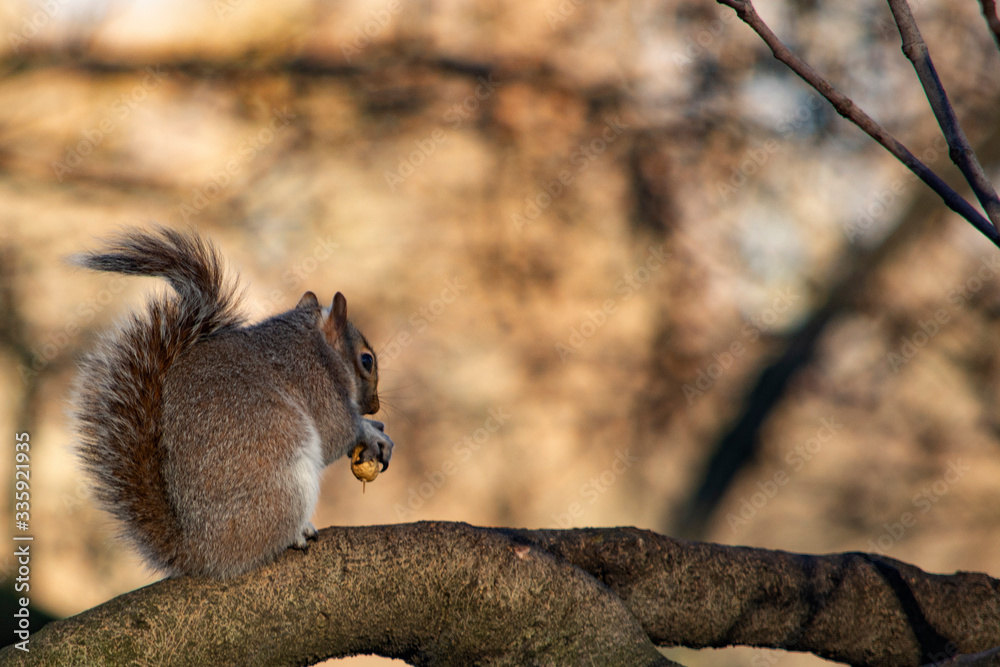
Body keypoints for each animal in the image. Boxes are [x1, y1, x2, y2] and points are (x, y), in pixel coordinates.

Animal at [71, 226, 393, 579]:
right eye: (366, 360)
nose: (375, 406)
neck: (313, 341)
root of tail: (201, 553)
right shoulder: (316, 382)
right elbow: (337, 431)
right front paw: (370, 431)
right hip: (284, 481)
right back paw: (295, 534)